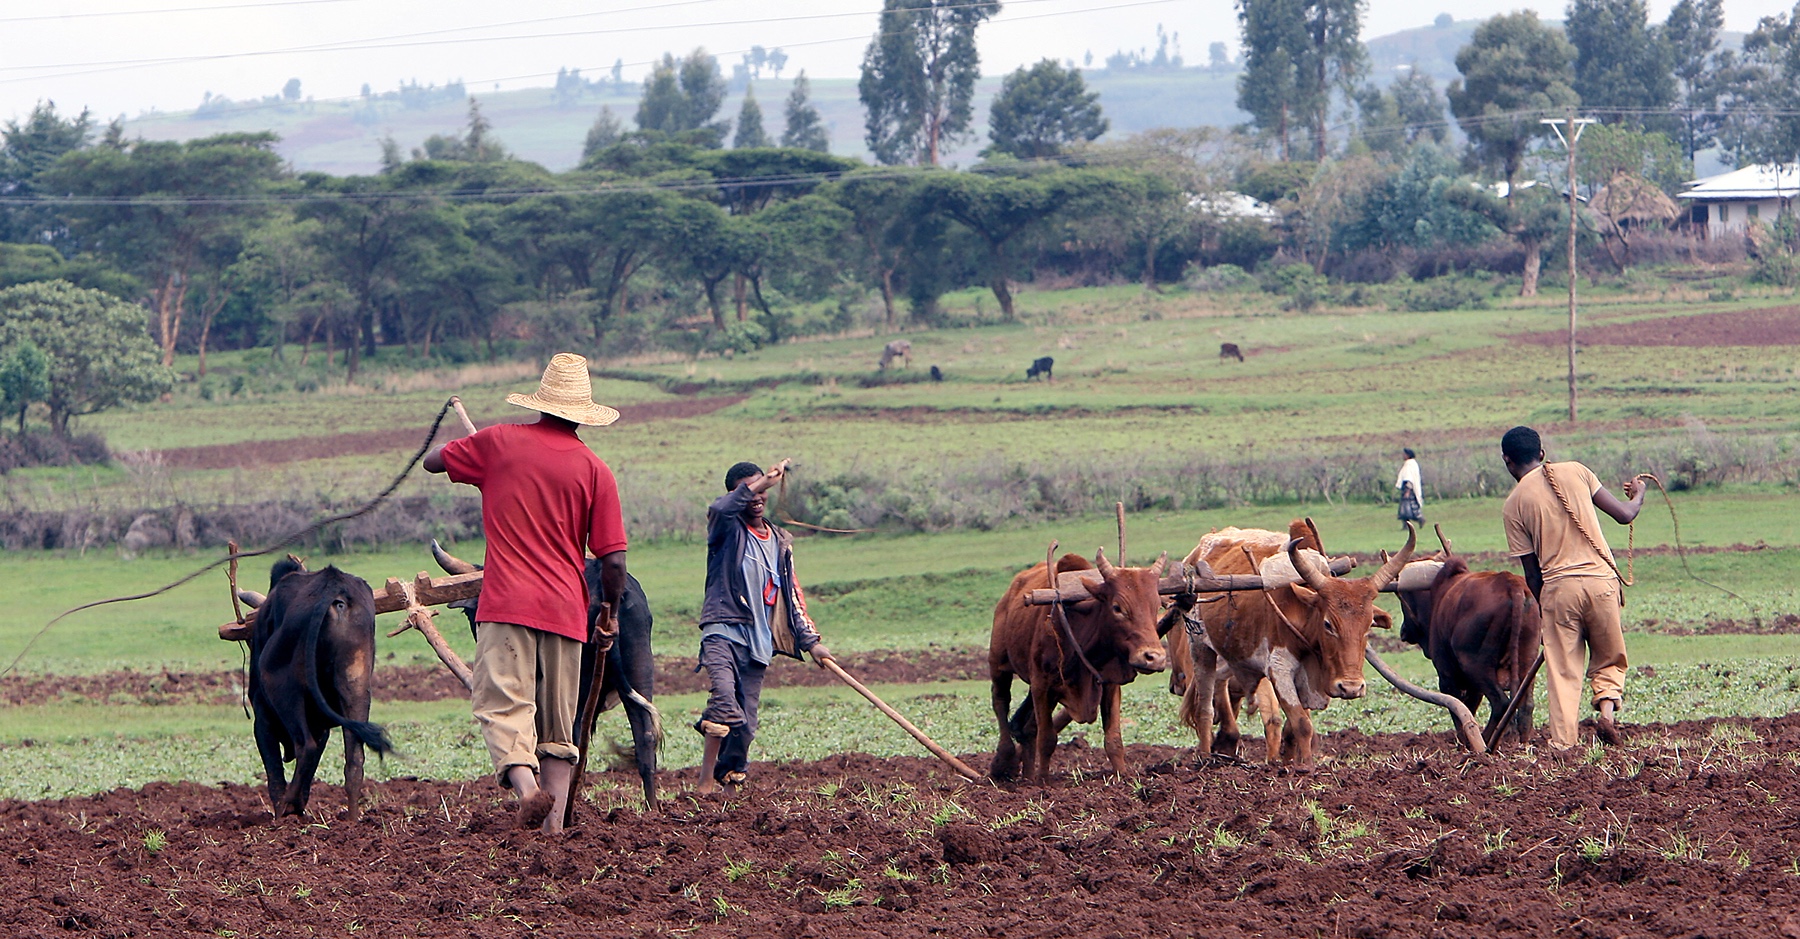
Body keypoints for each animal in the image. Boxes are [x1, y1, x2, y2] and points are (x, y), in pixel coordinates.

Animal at [246, 557, 390, 813]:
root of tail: (334, 585)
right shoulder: (322, 726)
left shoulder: (262, 716)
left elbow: (274, 773)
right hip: (356, 689)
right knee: (354, 762)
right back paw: (352, 820)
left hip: (284, 691)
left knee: (306, 746)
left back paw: (287, 806)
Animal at [993, 543, 1173, 777]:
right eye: (1117, 607)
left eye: (1156, 606)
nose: (1154, 658)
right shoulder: (1041, 684)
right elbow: (1047, 739)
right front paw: (1042, 781)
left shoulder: (1110, 684)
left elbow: (1113, 740)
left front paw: (1122, 777)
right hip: (998, 664)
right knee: (1001, 702)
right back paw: (1005, 759)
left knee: (1025, 727)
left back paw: (1027, 774)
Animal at [1173, 514, 1411, 762]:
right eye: (1328, 624)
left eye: (1368, 625)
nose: (1351, 688)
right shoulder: (1280, 669)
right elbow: (1302, 725)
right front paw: (1306, 766)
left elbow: (1292, 730)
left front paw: (1287, 764)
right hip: (1200, 649)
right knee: (1205, 710)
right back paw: (1205, 758)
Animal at [1396, 550, 1540, 741]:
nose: (1403, 630)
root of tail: (1511, 583)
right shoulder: (1474, 687)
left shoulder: (1447, 676)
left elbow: (1459, 711)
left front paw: (1464, 741)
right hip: (1527, 660)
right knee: (1526, 705)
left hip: (1476, 666)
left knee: (1501, 703)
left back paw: (1486, 740)